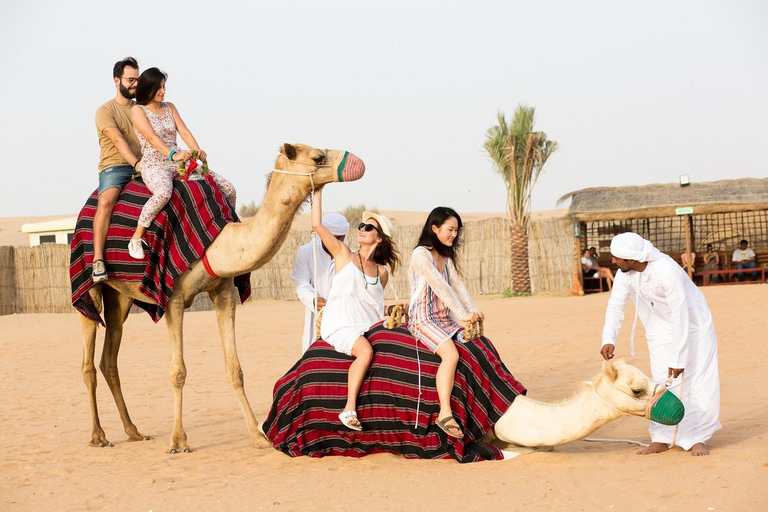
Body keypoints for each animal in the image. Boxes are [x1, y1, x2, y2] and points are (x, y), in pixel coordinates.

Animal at [82, 143, 364, 452]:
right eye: (317, 157)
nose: (358, 162)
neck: (218, 244)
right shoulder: (173, 298)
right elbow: (178, 372)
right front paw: (178, 441)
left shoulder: (224, 291)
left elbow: (235, 368)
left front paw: (259, 434)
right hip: (90, 290)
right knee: (88, 362)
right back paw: (98, 435)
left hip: (120, 297)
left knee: (109, 359)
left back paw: (133, 431)